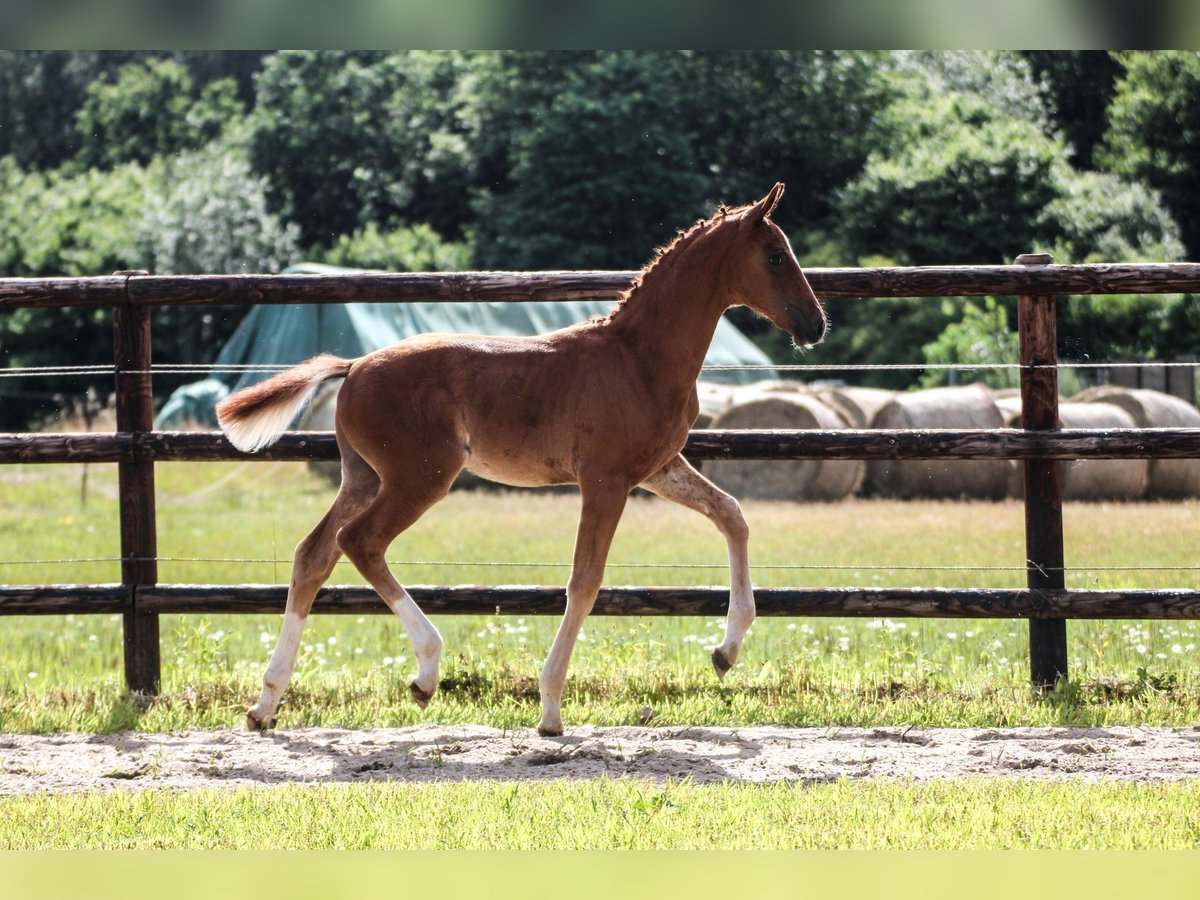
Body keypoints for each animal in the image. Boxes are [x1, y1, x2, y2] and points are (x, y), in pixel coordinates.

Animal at [216, 183, 827, 736]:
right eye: (776, 255)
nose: (815, 324)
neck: (638, 358)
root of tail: (355, 365)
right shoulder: (606, 481)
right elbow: (585, 580)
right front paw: (551, 709)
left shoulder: (656, 468)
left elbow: (732, 514)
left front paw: (726, 651)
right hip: (419, 478)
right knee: (359, 543)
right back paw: (426, 671)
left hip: (363, 477)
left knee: (312, 555)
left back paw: (266, 704)